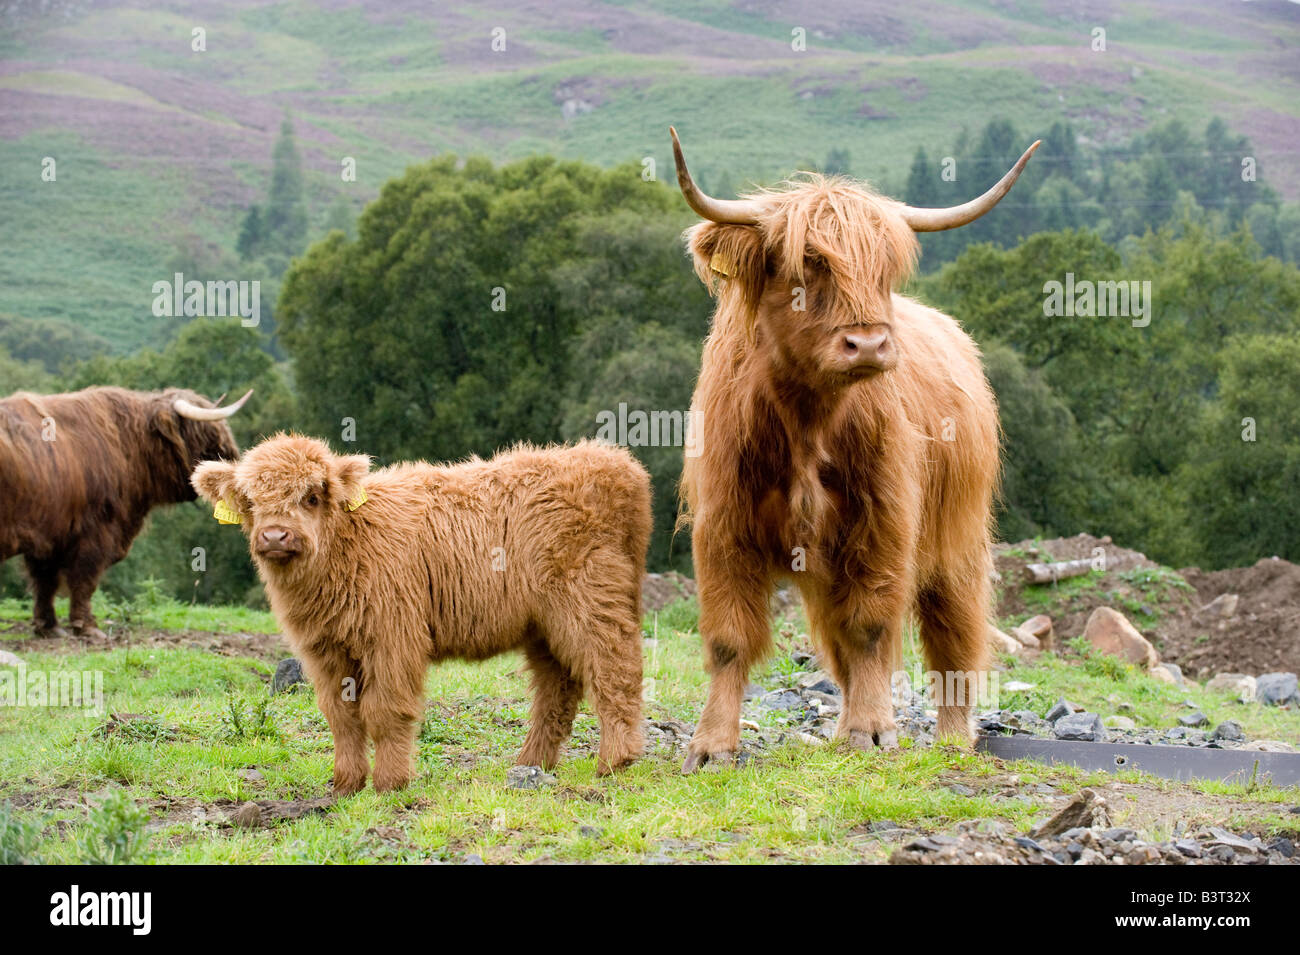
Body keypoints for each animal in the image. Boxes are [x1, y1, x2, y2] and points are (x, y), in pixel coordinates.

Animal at [0, 386, 251, 639]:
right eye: (209, 434)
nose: (234, 460)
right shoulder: (95, 531)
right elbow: (84, 580)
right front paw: (87, 627)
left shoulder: (48, 536)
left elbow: (45, 583)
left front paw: (49, 626)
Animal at [191, 434, 651, 794]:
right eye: (250, 502)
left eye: (312, 496)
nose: (275, 536)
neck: (347, 544)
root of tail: (611, 460)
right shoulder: (324, 650)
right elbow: (341, 715)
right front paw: (346, 784)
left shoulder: (392, 636)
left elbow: (384, 709)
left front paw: (390, 782)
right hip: (542, 625)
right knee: (557, 688)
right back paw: (531, 764)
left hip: (589, 600)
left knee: (614, 668)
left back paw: (615, 760)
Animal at [668, 127, 1038, 772]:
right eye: (808, 263)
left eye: (884, 266)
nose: (868, 343)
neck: (807, 417)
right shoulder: (724, 526)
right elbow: (729, 637)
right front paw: (712, 745)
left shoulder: (883, 523)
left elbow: (870, 626)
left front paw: (871, 730)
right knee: (838, 636)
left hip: (958, 539)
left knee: (954, 635)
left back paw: (950, 740)